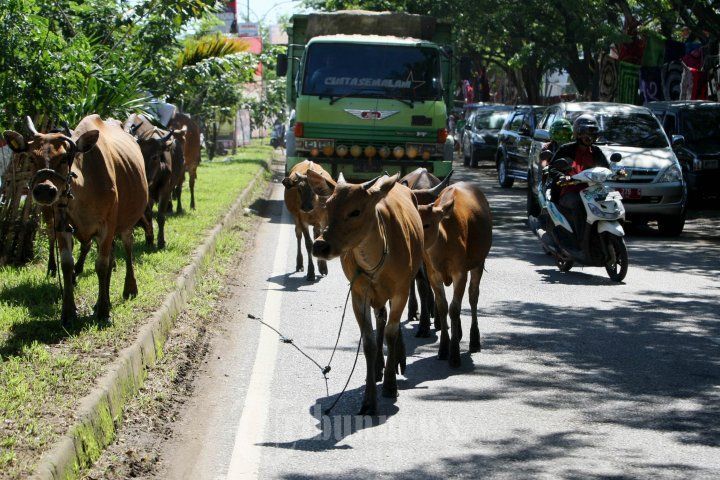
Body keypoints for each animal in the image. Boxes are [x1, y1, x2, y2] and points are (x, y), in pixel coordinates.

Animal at [2, 116, 149, 324]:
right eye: (31, 157)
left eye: (64, 158)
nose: (44, 190)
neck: (84, 189)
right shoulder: (62, 223)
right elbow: (67, 264)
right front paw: (69, 311)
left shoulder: (107, 225)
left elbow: (102, 265)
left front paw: (103, 312)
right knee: (112, 254)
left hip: (127, 220)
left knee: (127, 246)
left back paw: (129, 288)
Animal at [308, 171, 422, 414]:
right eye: (328, 206)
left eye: (355, 211)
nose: (320, 246)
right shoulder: (358, 293)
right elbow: (368, 342)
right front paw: (369, 401)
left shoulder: (401, 289)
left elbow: (391, 332)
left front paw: (390, 385)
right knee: (381, 318)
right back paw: (379, 366)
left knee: (390, 324)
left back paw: (397, 362)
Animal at [420, 182, 492, 366]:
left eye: (427, 224)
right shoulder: (432, 274)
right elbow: (443, 307)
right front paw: (443, 348)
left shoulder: (460, 272)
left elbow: (454, 308)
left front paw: (454, 355)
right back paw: (457, 333)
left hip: (478, 262)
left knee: (473, 296)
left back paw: (474, 340)